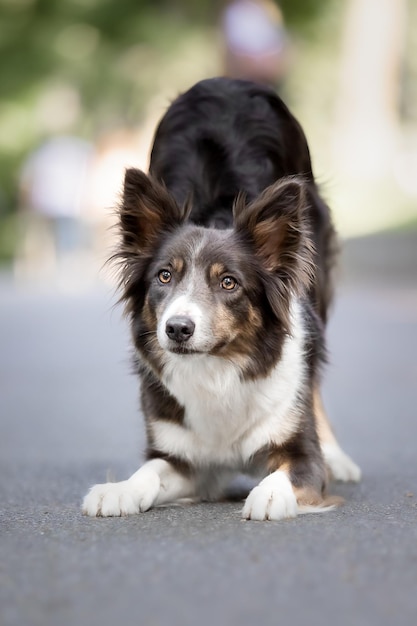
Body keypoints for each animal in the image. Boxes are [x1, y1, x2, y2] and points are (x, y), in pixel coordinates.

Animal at [83, 75, 360, 520]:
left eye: (229, 283)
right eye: (164, 276)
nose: (177, 329)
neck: (218, 367)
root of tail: (228, 79)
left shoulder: (301, 454)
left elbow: (288, 469)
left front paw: (270, 494)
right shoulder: (184, 457)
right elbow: (149, 471)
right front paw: (118, 490)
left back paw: (339, 455)